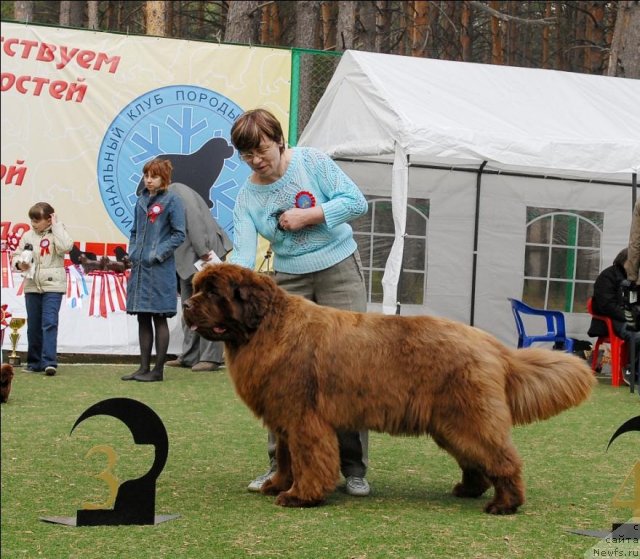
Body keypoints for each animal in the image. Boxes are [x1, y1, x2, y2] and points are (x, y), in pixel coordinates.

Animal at [184, 264, 596, 516]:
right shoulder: (285, 420)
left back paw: (504, 504)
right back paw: (469, 489)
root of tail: (491, 344)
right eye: (197, 289)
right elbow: (286, 459)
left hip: (469, 418)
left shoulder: (304, 420)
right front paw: (277, 485)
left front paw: (301, 496)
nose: (186, 305)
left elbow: (309, 460)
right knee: (475, 459)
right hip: (452, 423)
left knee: (502, 459)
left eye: (214, 292)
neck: (267, 327)